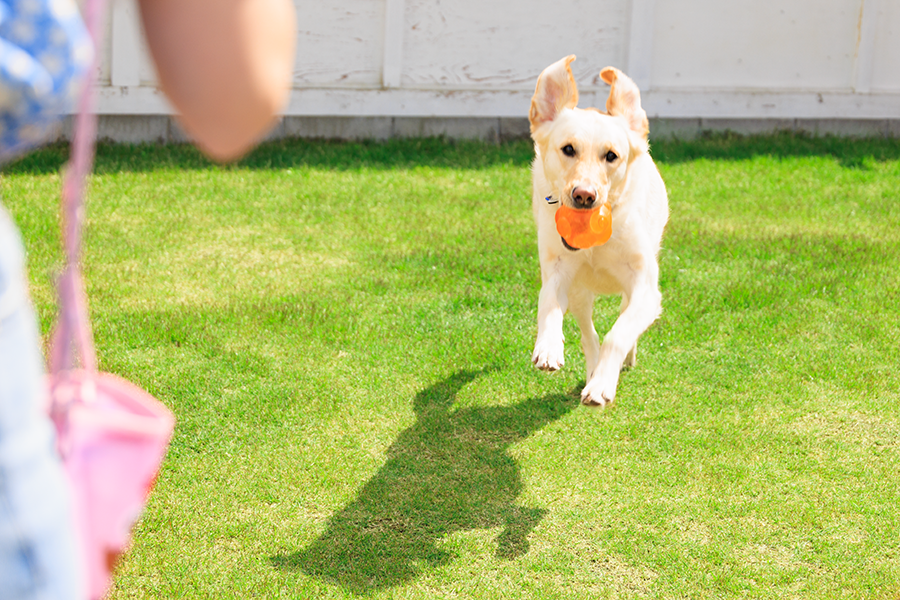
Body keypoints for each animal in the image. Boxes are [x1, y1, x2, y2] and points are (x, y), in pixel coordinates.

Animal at [528, 55, 668, 408]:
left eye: (611, 156)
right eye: (568, 149)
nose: (584, 195)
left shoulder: (646, 287)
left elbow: (618, 334)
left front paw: (603, 385)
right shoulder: (557, 271)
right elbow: (549, 305)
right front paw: (548, 347)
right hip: (581, 292)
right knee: (587, 333)